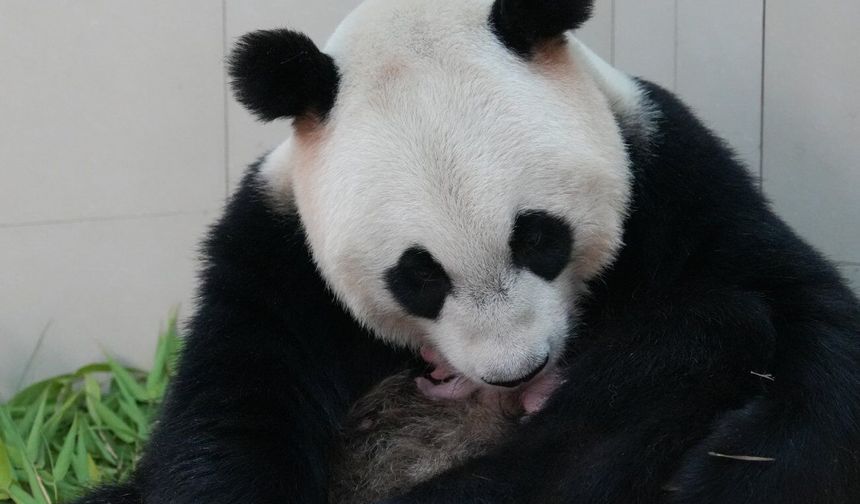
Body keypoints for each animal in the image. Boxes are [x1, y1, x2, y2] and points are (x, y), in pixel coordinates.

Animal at [75, 0, 860, 503]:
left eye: (541, 238)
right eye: (417, 278)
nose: (519, 372)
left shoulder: (673, 180)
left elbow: (811, 328)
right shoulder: (275, 260)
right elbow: (227, 425)